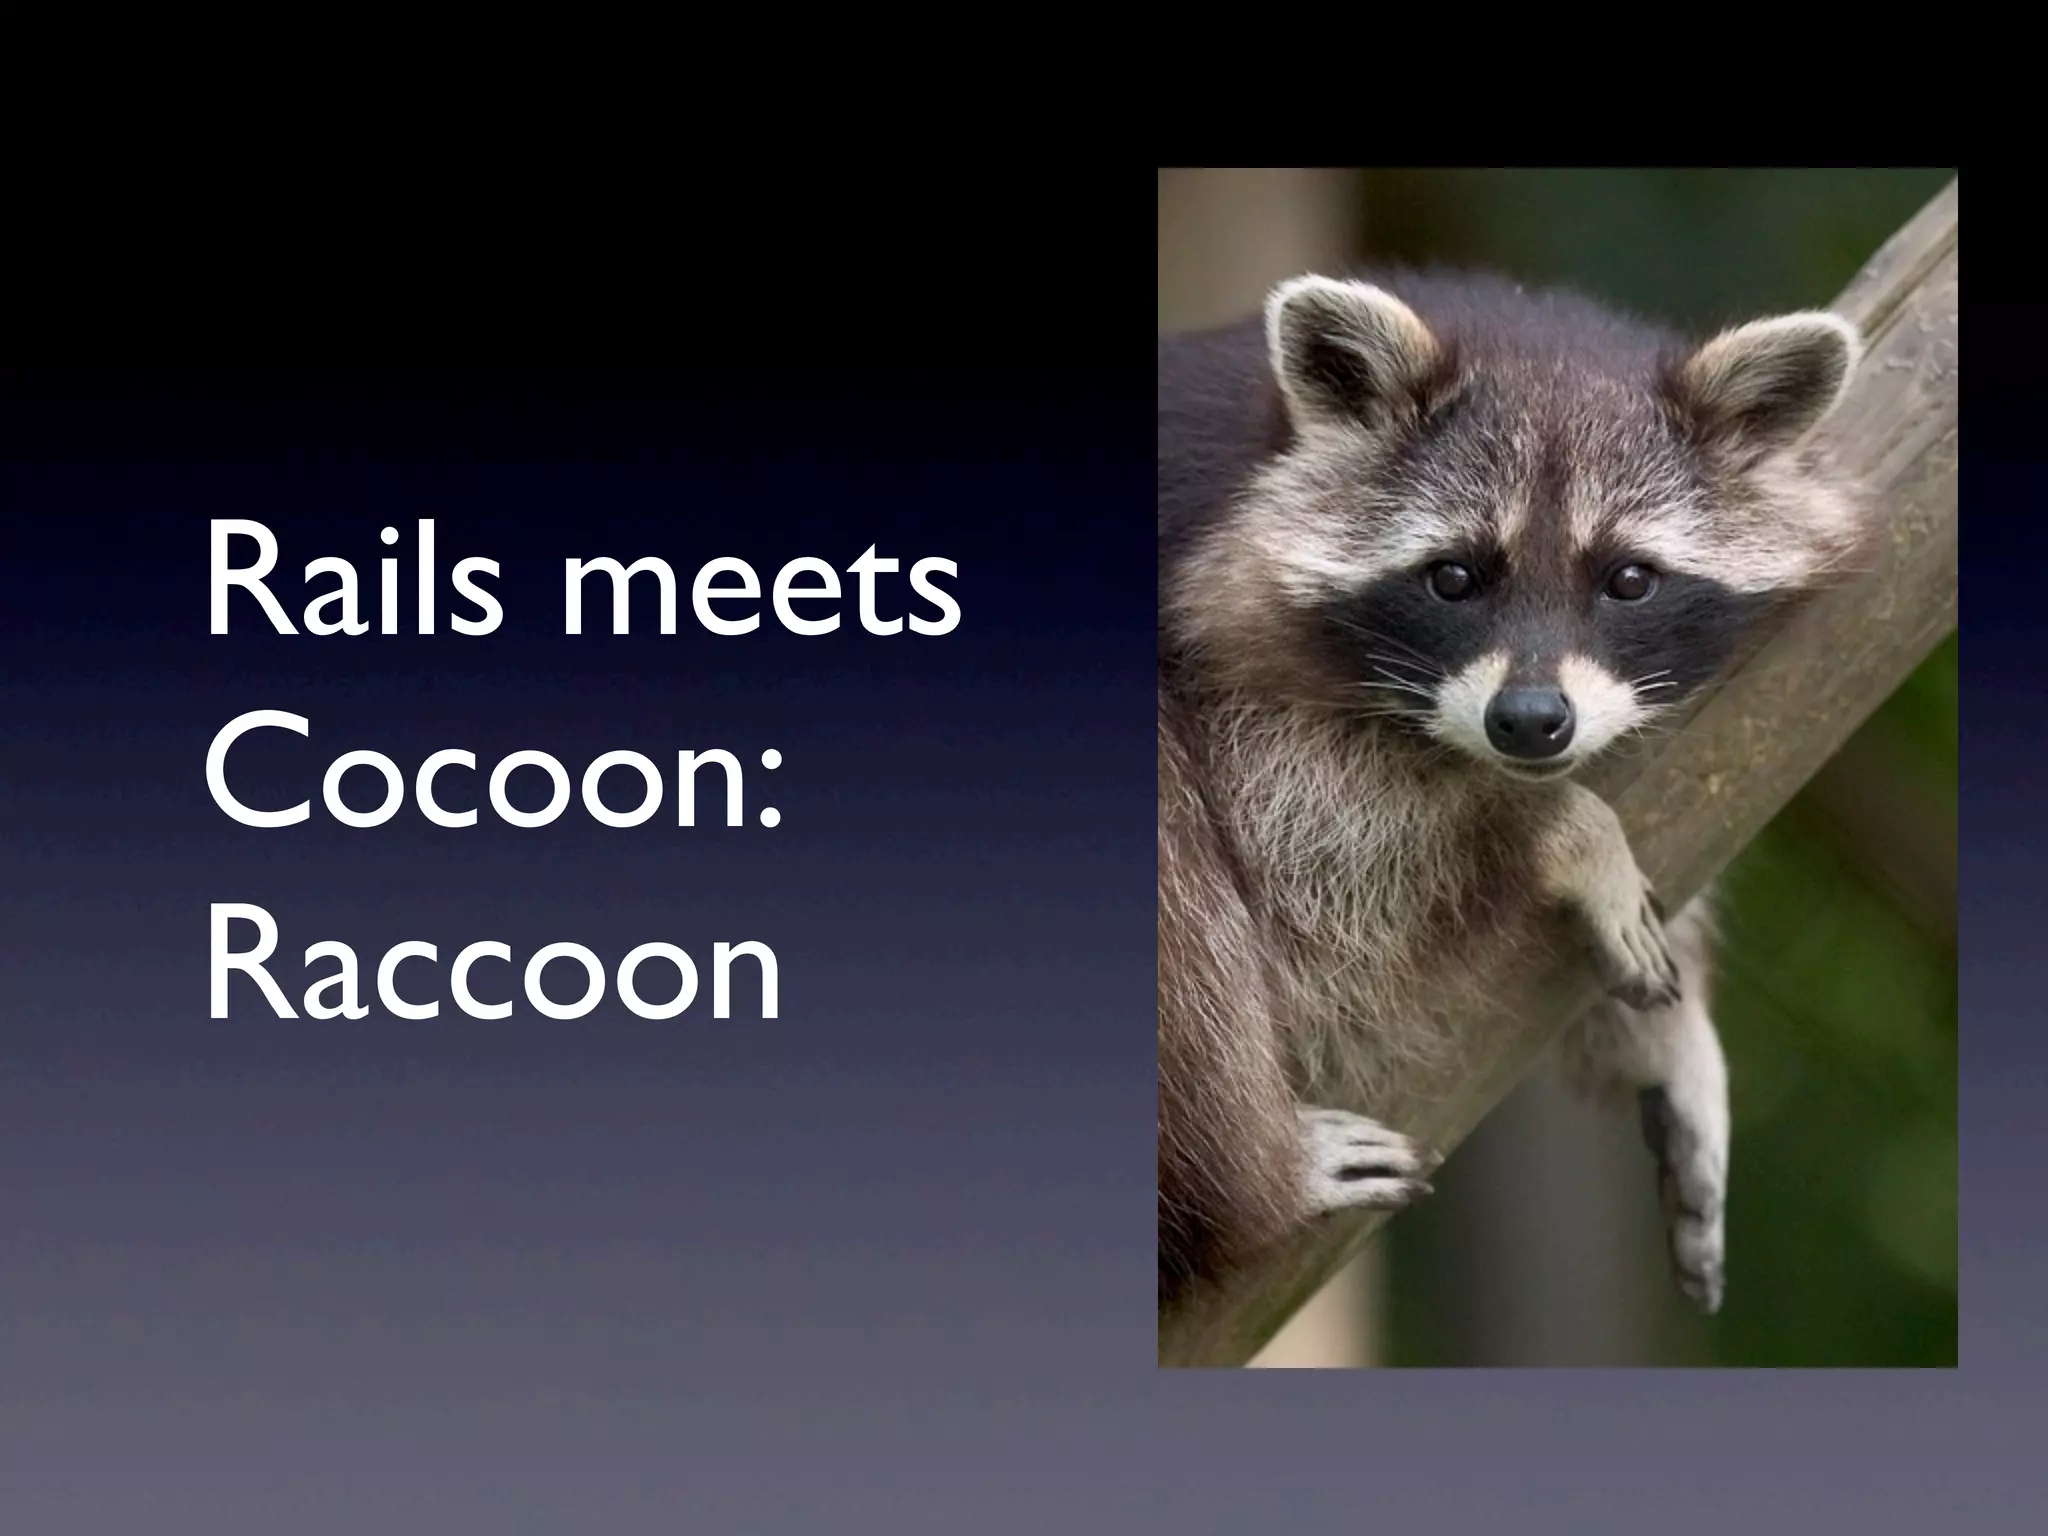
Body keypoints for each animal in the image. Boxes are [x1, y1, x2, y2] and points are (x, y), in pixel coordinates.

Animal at [1158, 269, 1866, 1318]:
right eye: (1454, 577)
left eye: (1628, 579)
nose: (1530, 723)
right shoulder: (1210, 619)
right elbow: (1308, 828)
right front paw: (1558, 825)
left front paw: (1673, 1035)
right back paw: (1261, 1177)